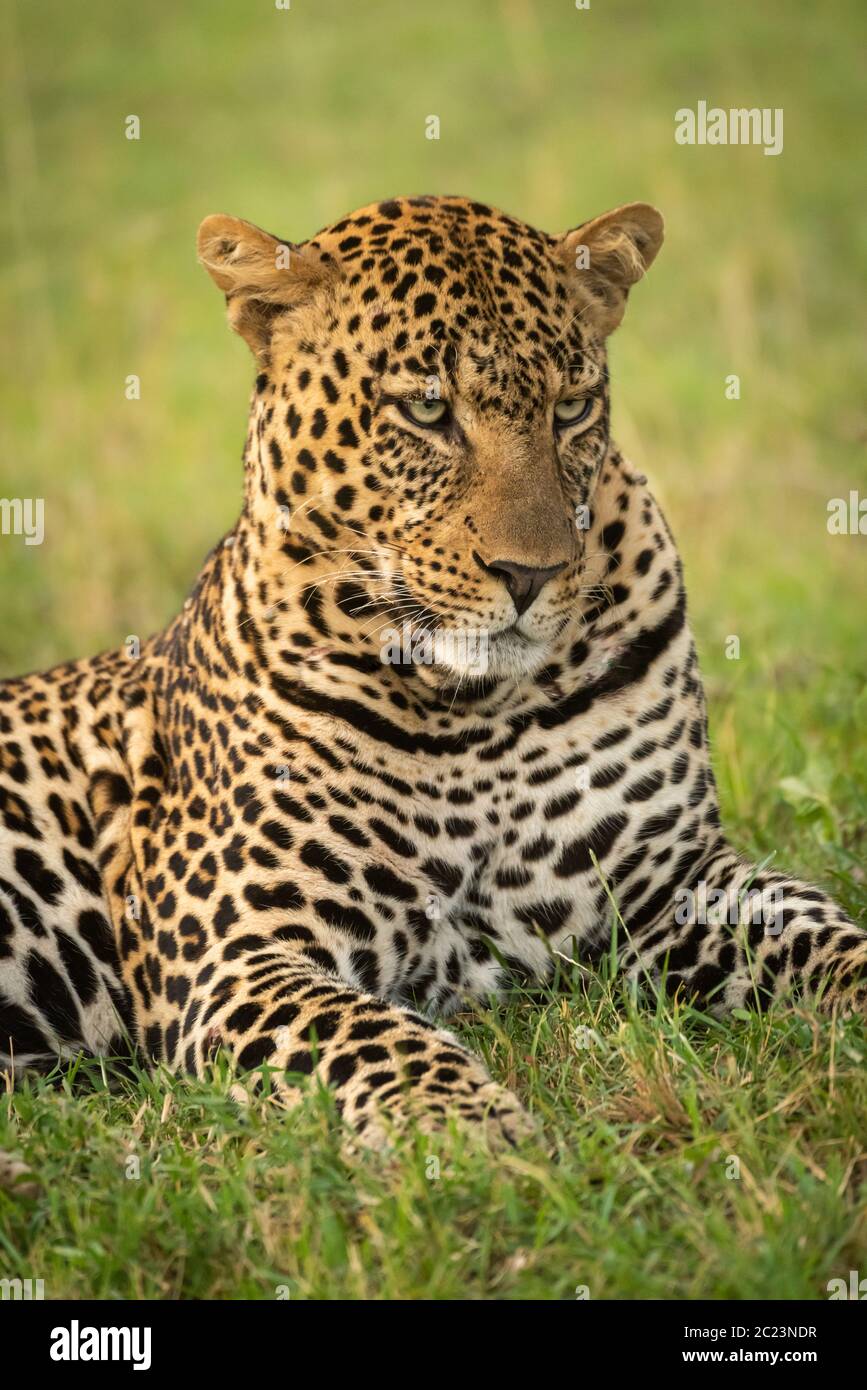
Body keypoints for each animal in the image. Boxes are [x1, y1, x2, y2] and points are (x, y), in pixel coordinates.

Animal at [1, 194, 865, 1150]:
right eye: (425, 411)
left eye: (570, 409)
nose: (531, 573)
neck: (470, 712)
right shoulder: (234, 948)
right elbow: (367, 1033)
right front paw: (479, 1133)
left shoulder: (668, 881)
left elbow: (820, 929)